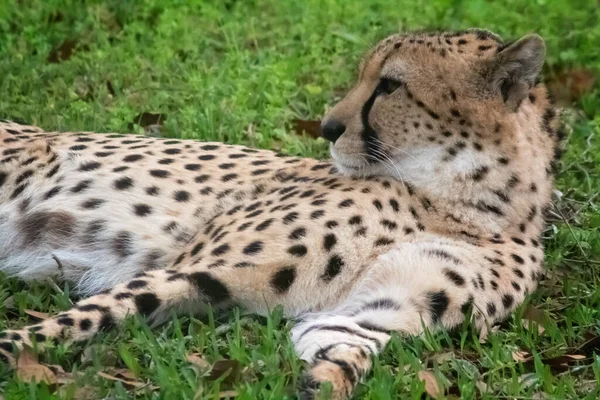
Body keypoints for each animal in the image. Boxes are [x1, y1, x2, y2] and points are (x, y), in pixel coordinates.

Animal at [0, 28, 564, 400]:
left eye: (390, 85)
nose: (328, 128)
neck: (468, 204)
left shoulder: (386, 307)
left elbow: (351, 343)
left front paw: (326, 380)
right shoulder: (197, 269)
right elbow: (81, 319)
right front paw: (13, 349)